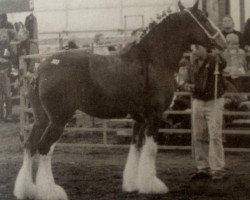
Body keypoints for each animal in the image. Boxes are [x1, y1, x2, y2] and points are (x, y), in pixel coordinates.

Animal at [14, 0, 227, 199]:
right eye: (203, 18)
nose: (222, 42)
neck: (152, 60)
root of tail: (40, 69)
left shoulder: (140, 119)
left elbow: (137, 147)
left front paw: (133, 184)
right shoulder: (154, 116)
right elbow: (151, 149)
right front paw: (152, 185)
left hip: (42, 119)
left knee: (30, 145)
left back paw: (27, 190)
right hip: (58, 120)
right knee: (44, 148)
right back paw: (50, 191)